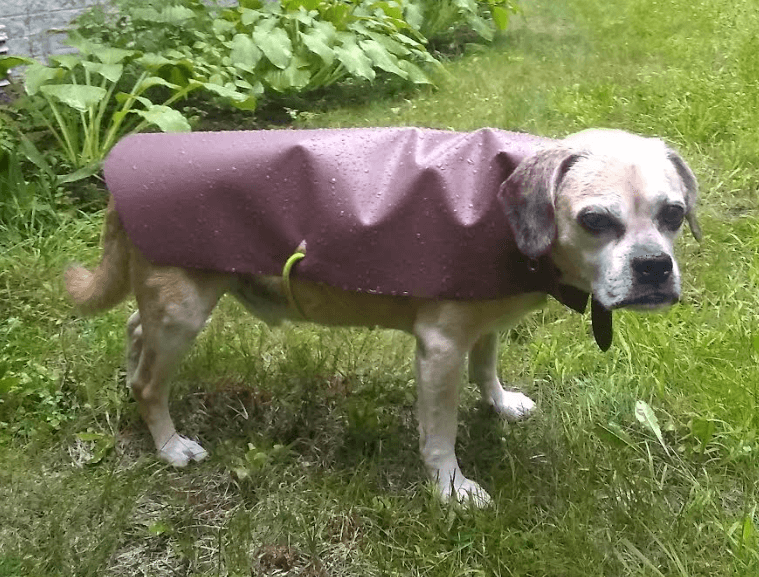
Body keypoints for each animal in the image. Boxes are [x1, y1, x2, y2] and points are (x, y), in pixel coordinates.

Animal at [65, 127, 700, 504]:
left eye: (673, 214)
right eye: (595, 221)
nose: (654, 267)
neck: (501, 207)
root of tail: (118, 188)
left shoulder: (483, 326)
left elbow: (486, 367)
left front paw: (499, 404)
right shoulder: (440, 348)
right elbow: (440, 433)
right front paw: (451, 489)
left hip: (168, 306)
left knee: (135, 331)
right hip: (184, 310)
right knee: (151, 382)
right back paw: (170, 445)